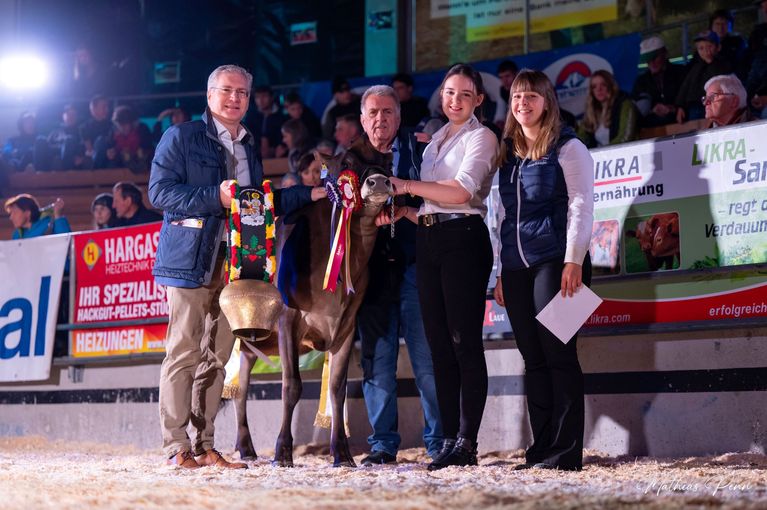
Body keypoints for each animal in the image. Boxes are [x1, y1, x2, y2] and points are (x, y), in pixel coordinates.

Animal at [232, 138, 392, 466]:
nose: (379, 181)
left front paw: (342, 454)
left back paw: (246, 448)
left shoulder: (347, 325)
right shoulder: (288, 318)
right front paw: (282, 452)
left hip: (249, 340)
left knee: (239, 388)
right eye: (347, 162)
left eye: (387, 161)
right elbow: (292, 385)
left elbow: (337, 388)